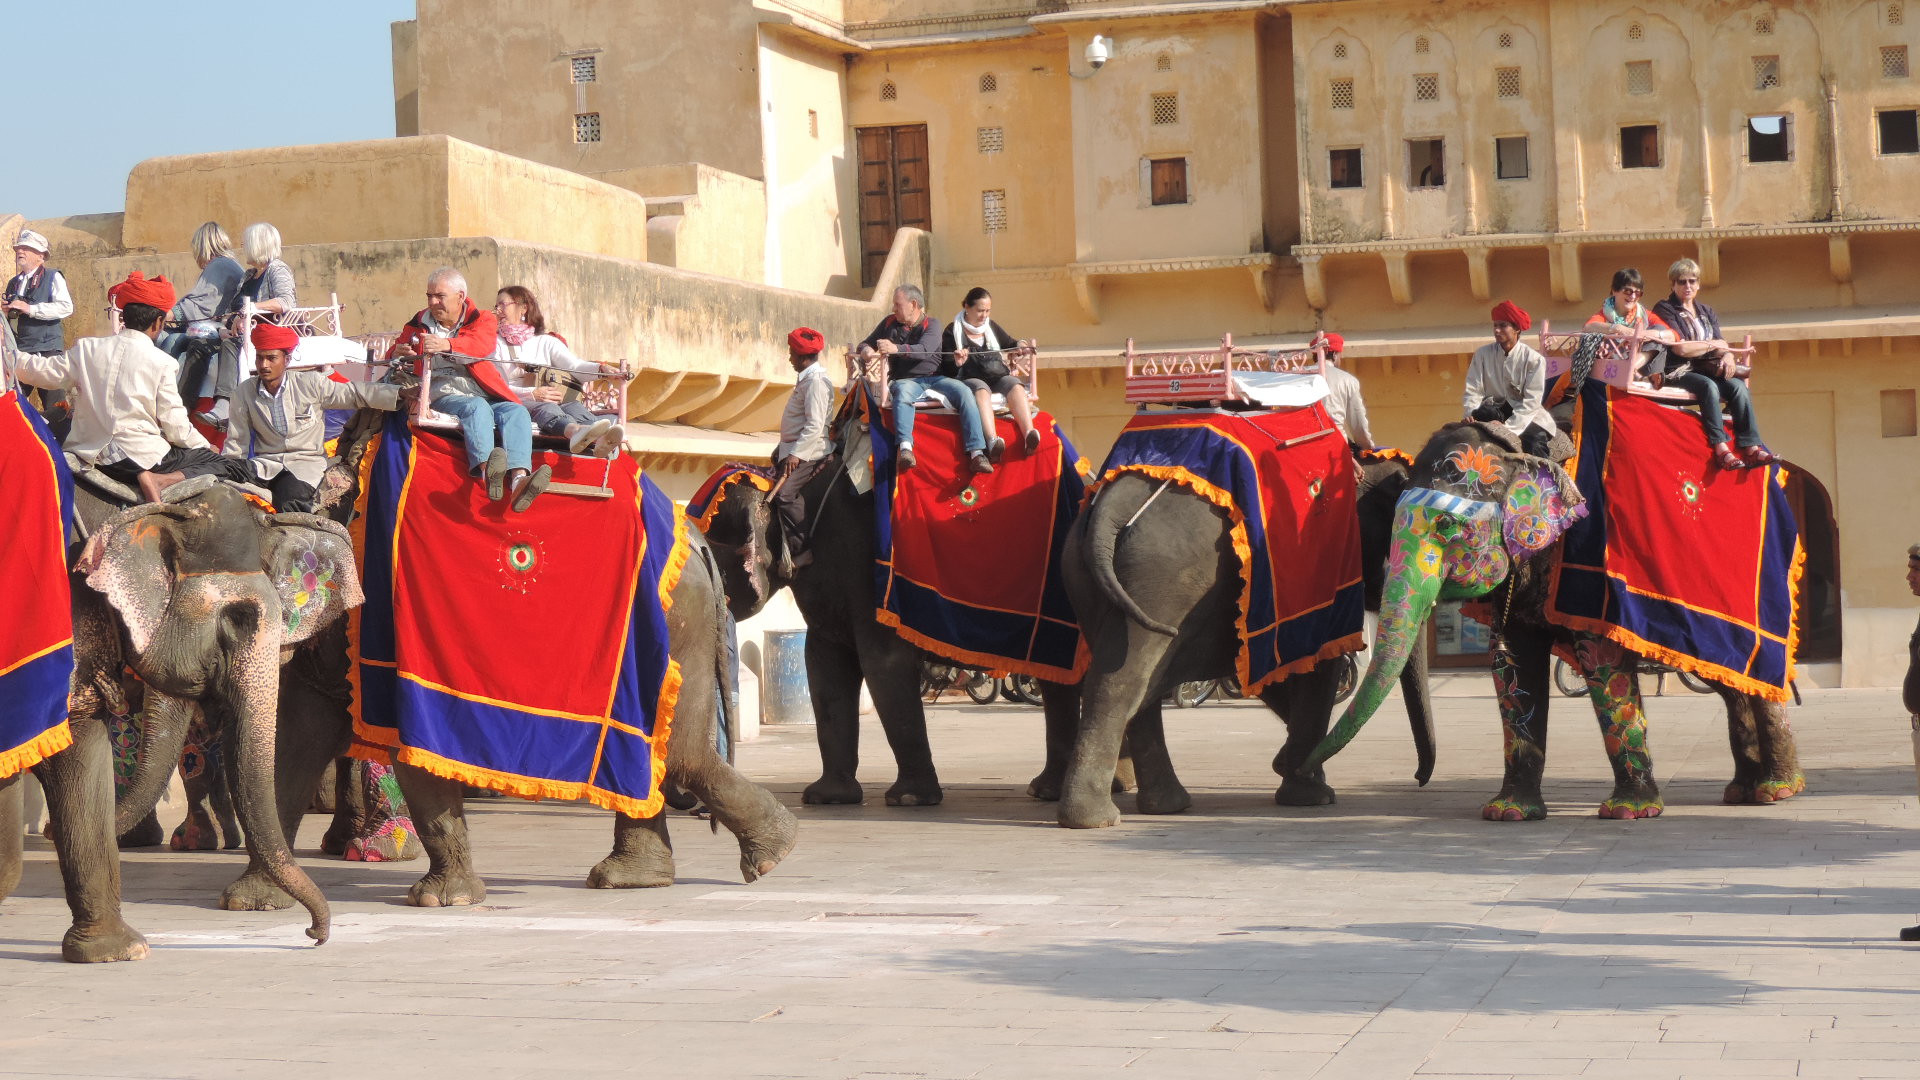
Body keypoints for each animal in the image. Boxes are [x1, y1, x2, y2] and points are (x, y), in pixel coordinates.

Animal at [698, 455, 1090, 807]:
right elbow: (824, 665)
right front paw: (827, 797)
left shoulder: (866, 566)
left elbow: (882, 663)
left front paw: (909, 800)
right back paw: (1052, 791)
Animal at [1052, 449, 1443, 826]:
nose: (1419, 779)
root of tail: (1112, 505)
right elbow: (1319, 669)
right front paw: (1311, 792)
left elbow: (1266, 674)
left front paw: (1294, 767)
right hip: (1161, 578)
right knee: (1123, 681)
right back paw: (1093, 819)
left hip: (1089, 577)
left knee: (1143, 679)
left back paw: (1165, 806)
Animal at [1297, 420, 1804, 814]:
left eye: (1445, 526)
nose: (1419, 780)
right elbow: (1514, 665)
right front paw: (1508, 812)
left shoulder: (1588, 568)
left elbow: (1604, 666)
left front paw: (1628, 812)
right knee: (1729, 682)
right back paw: (1742, 791)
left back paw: (1775, 792)